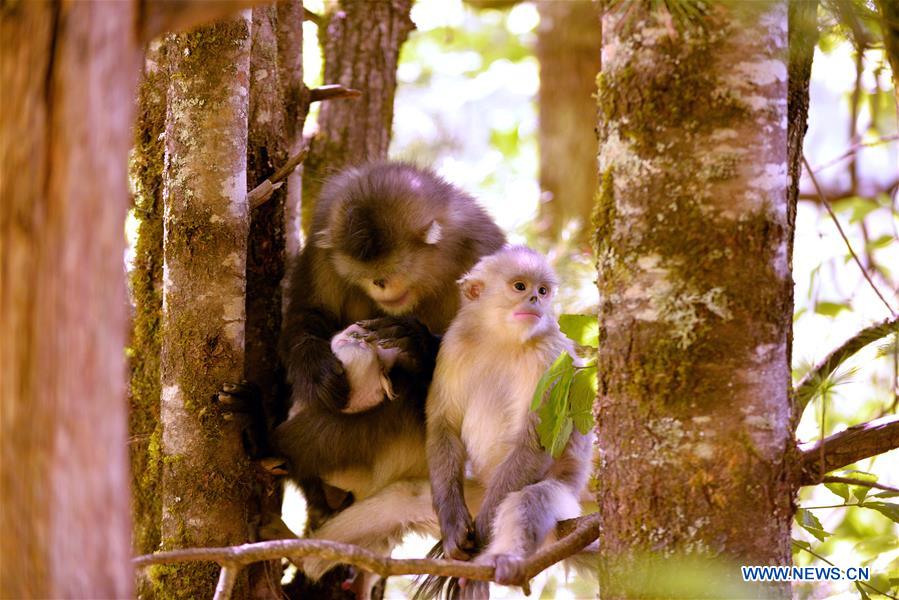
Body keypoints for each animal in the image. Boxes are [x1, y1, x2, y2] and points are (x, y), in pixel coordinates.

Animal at [426, 246, 596, 596]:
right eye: (520, 286)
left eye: (542, 291)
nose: (534, 300)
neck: (499, 338)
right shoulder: (454, 343)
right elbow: (443, 423)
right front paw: (452, 526)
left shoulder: (550, 354)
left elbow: (536, 440)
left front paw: (481, 534)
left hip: (564, 494)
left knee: (529, 501)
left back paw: (501, 561)